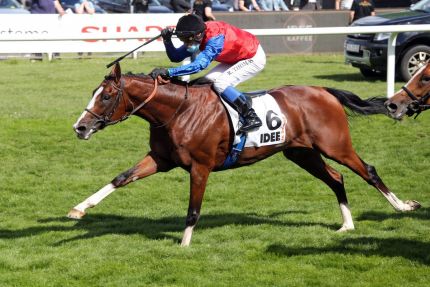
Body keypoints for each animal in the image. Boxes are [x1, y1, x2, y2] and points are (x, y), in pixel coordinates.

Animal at [69, 63, 420, 248]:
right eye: (94, 93)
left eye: (107, 96)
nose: (80, 127)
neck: (178, 111)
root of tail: (323, 90)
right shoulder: (161, 159)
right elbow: (120, 178)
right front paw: (79, 209)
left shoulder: (200, 167)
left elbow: (193, 210)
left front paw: (184, 245)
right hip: (301, 153)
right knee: (336, 178)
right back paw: (346, 225)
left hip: (336, 146)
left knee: (368, 170)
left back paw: (403, 206)